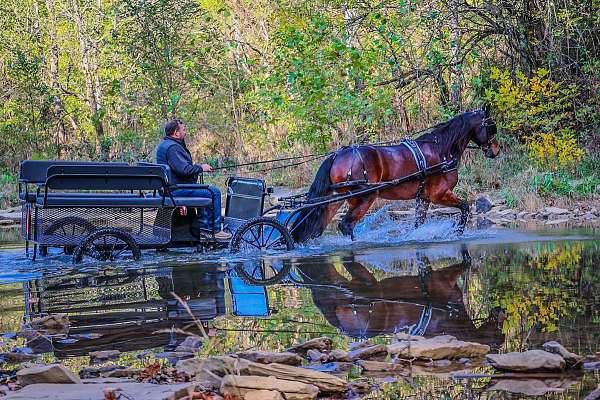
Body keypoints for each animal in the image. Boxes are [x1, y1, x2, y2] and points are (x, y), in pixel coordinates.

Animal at [292, 108, 500, 242]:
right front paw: (457, 232)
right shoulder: (439, 194)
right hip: (366, 197)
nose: (496, 150)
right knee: (346, 225)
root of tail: (338, 155)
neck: (442, 149)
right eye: (491, 126)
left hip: (339, 199)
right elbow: (465, 207)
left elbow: (418, 223)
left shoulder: (423, 198)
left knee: (318, 225)